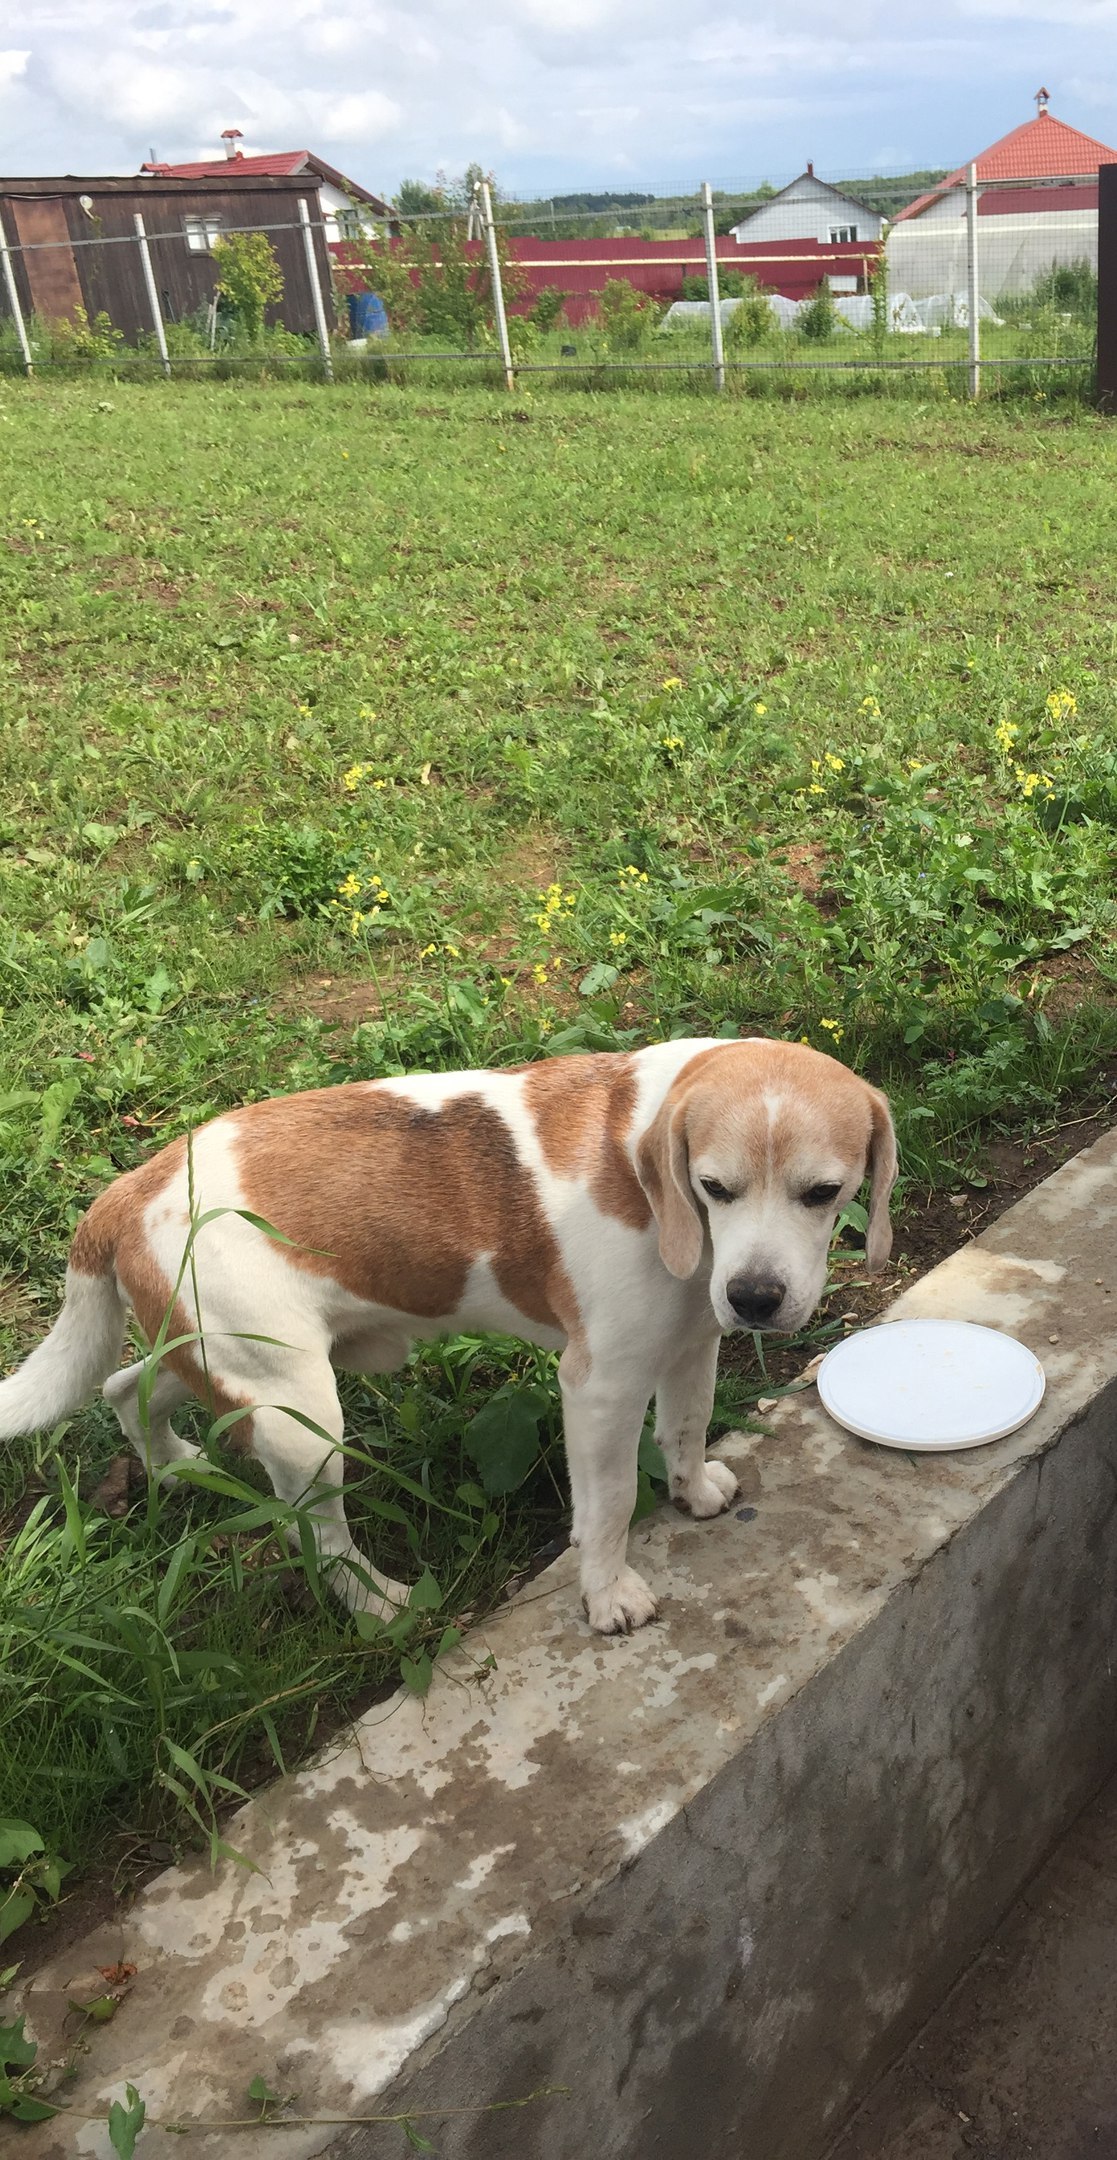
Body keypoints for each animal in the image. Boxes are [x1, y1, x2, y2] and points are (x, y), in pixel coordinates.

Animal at [0, 1036, 894, 1624]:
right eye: (714, 1186)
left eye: (822, 1192)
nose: (754, 1298)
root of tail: (132, 1186)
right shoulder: (599, 1387)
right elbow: (606, 1505)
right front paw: (607, 1595)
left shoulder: (687, 1346)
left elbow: (685, 1427)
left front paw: (691, 1493)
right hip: (303, 1418)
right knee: (318, 1538)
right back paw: (381, 1604)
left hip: (215, 1362)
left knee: (126, 1385)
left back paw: (171, 1465)